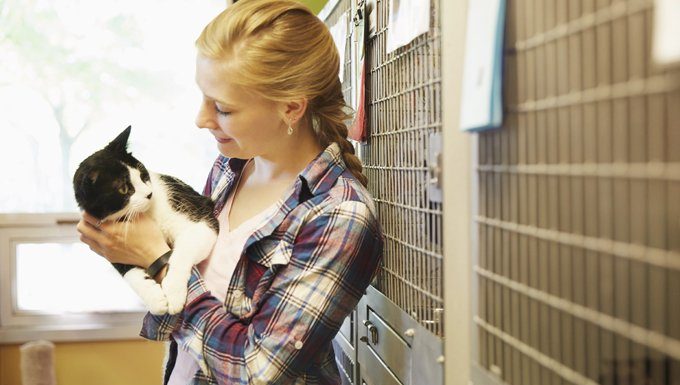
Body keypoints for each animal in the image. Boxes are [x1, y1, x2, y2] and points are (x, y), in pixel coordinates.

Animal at [72, 127, 216, 314]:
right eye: (123, 189)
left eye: (142, 174)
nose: (149, 194)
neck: (145, 212)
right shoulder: (107, 243)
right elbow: (126, 270)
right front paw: (155, 299)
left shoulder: (199, 215)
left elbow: (183, 251)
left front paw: (173, 292)